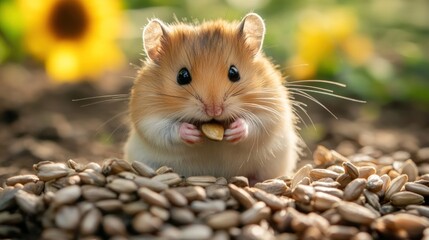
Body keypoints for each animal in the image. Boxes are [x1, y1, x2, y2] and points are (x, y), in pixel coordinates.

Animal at [122, 13, 300, 182]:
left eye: (234, 73)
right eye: (182, 76)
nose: (214, 110)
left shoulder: (271, 109)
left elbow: (257, 124)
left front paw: (235, 130)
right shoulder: (147, 117)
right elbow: (163, 129)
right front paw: (191, 133)